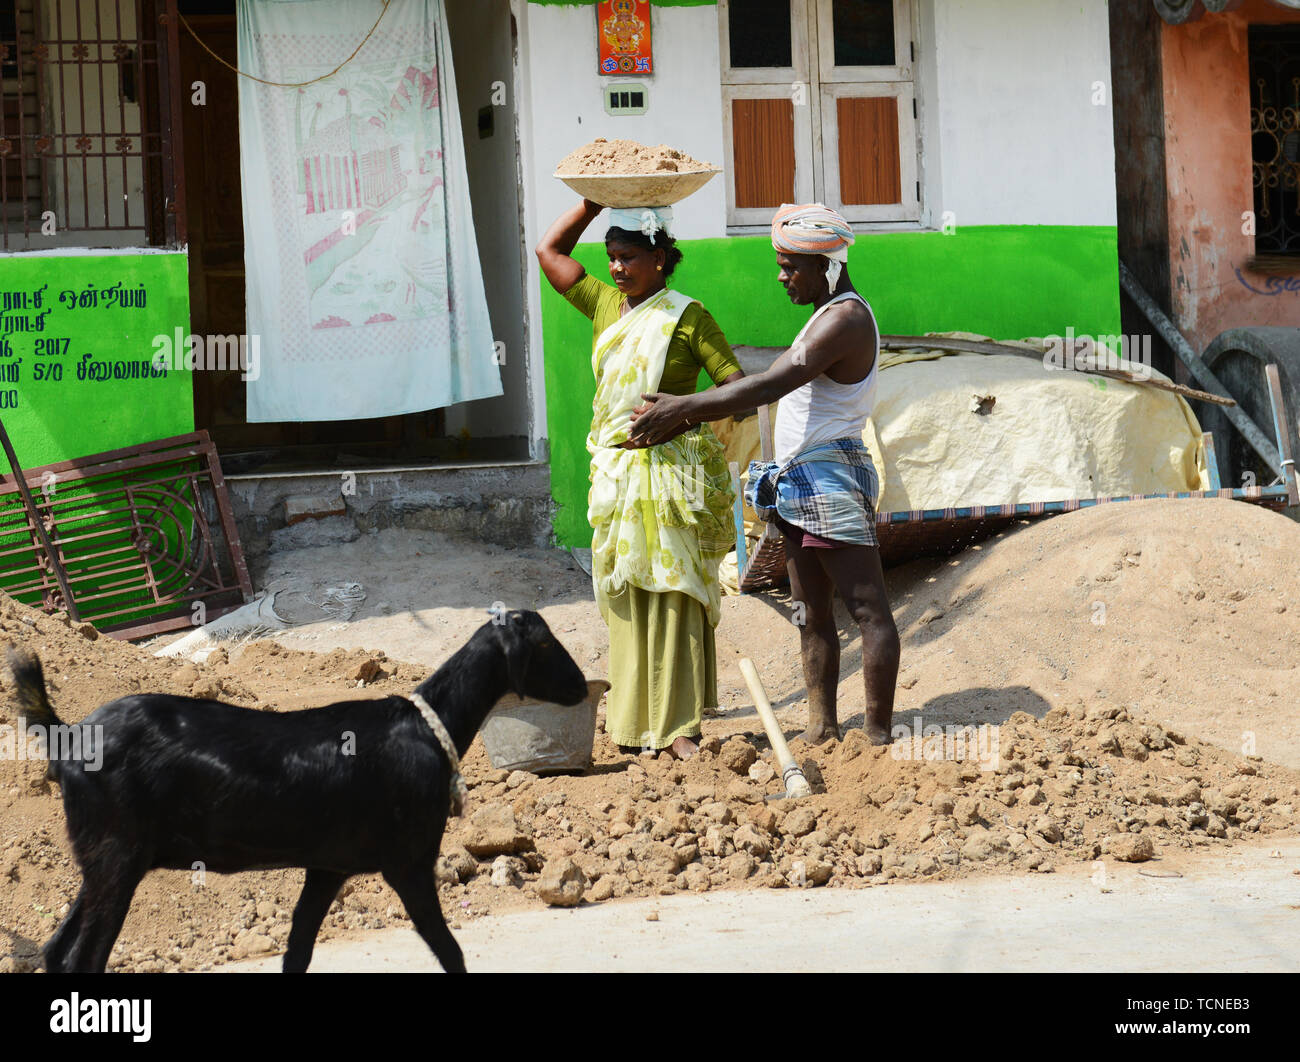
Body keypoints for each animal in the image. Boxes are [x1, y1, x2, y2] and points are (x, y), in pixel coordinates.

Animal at [7, 608, 587, 972]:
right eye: (543, 642)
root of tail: (67, 735)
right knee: (84, 959)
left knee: (56, 951)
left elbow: (298, 952)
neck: (428, 725)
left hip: (107, 858)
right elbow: (450, 952)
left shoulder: (327, 866)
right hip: (117, 855)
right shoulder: (409, 862)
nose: (582, 687)